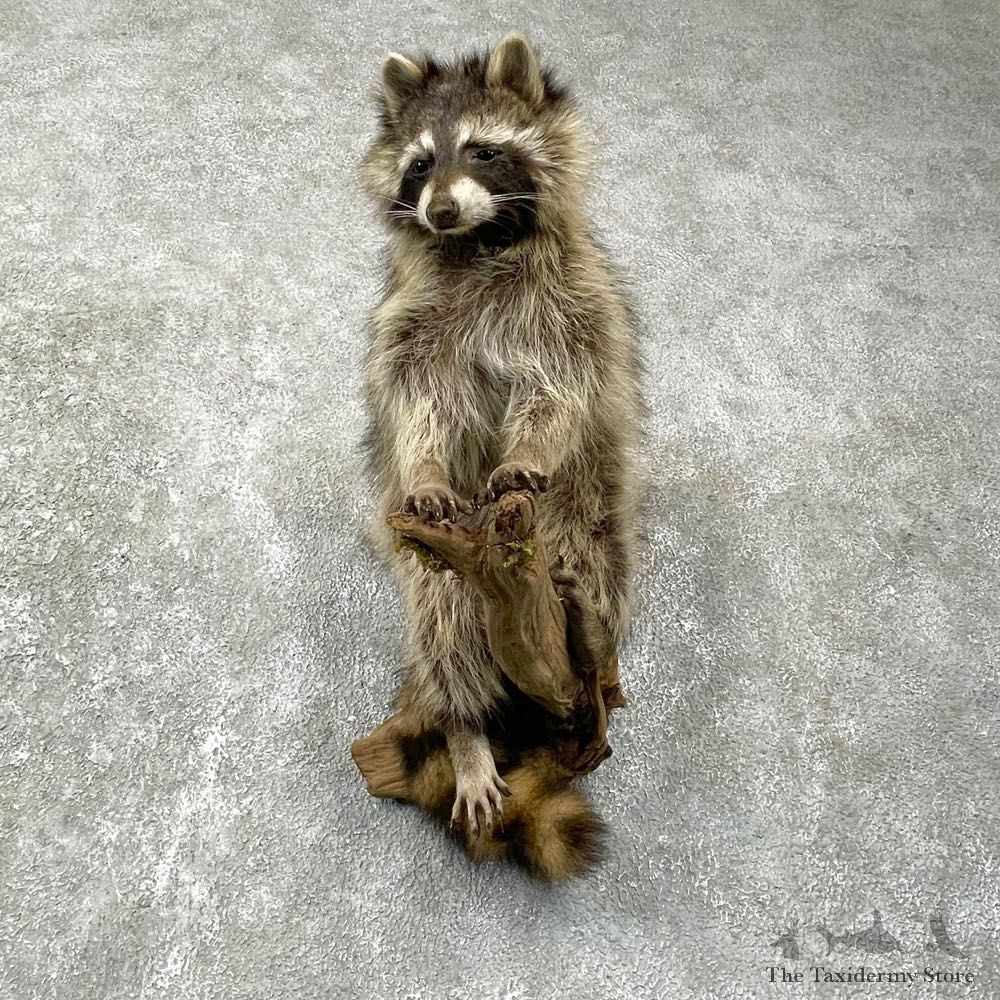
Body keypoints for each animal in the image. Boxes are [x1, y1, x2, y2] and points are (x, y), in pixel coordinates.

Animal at [358, 33, 646, 879]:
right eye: (421, 162)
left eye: (484, 151)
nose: (440, 208)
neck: (477, 240)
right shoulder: (412, 318)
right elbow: (418, 400)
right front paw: (424, 464)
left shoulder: (569, 307)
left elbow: (556, 392)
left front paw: (527, 447)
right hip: (442, 562)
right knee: (443, 615)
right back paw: (466, 727)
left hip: (585, 516)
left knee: (594, 568)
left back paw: (596, 662)